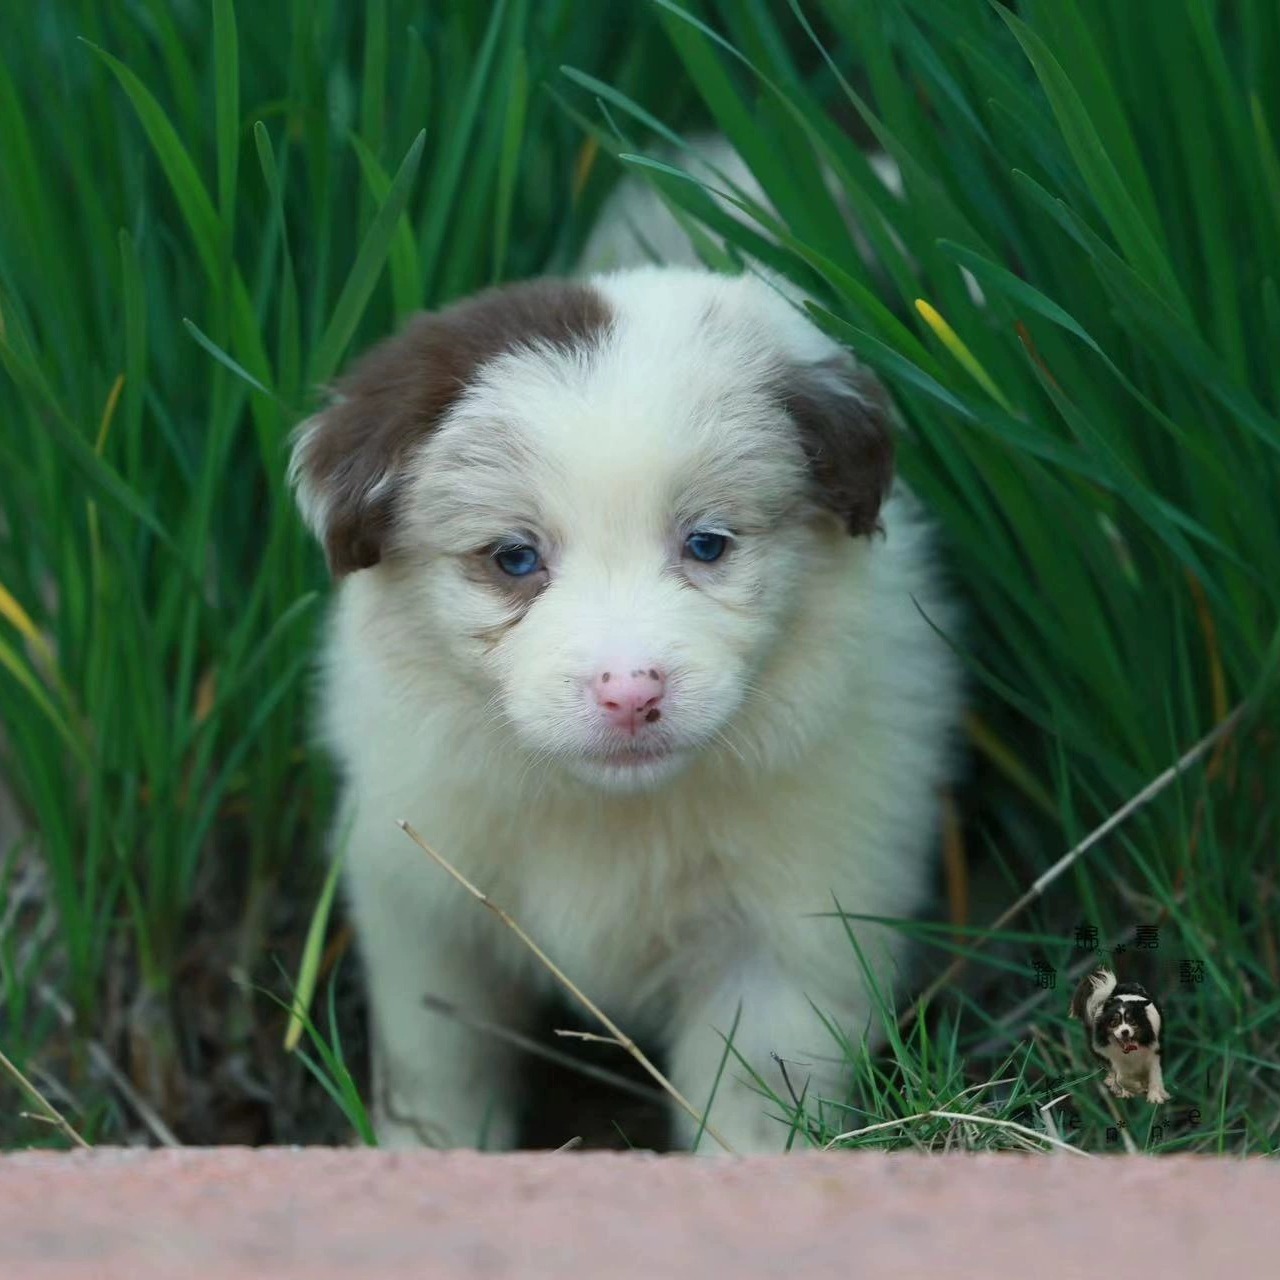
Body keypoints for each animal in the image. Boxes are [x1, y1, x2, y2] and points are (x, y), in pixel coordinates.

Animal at [290, 259, 962, 1152]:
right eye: (515, 558)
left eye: (708, 544)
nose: (630, 693)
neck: (610, 812)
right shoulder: (427, 914)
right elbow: (439, 1069)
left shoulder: (791, 940)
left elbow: (758, 1103)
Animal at [1070, 962, 1172, 1105]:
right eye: (1114, 1023)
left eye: (1132, 1021)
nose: (1125, 1032)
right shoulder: (1115, 1058)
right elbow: (1121, 1077)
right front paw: (1136, 1088)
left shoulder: (1154, 1052)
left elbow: (1154, 1074)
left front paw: (1155, 1096)